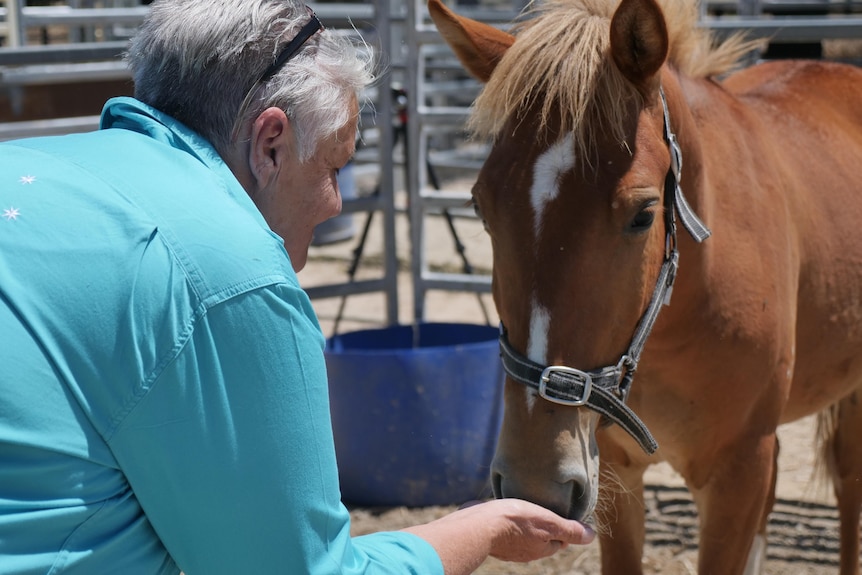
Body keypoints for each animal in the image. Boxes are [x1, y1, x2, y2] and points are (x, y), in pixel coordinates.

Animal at [428, 0, 862, 572]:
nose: (533, 483)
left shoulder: (738, 475)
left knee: (849, 484)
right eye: (479, 205)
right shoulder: (617, 472)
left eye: (643, 214)